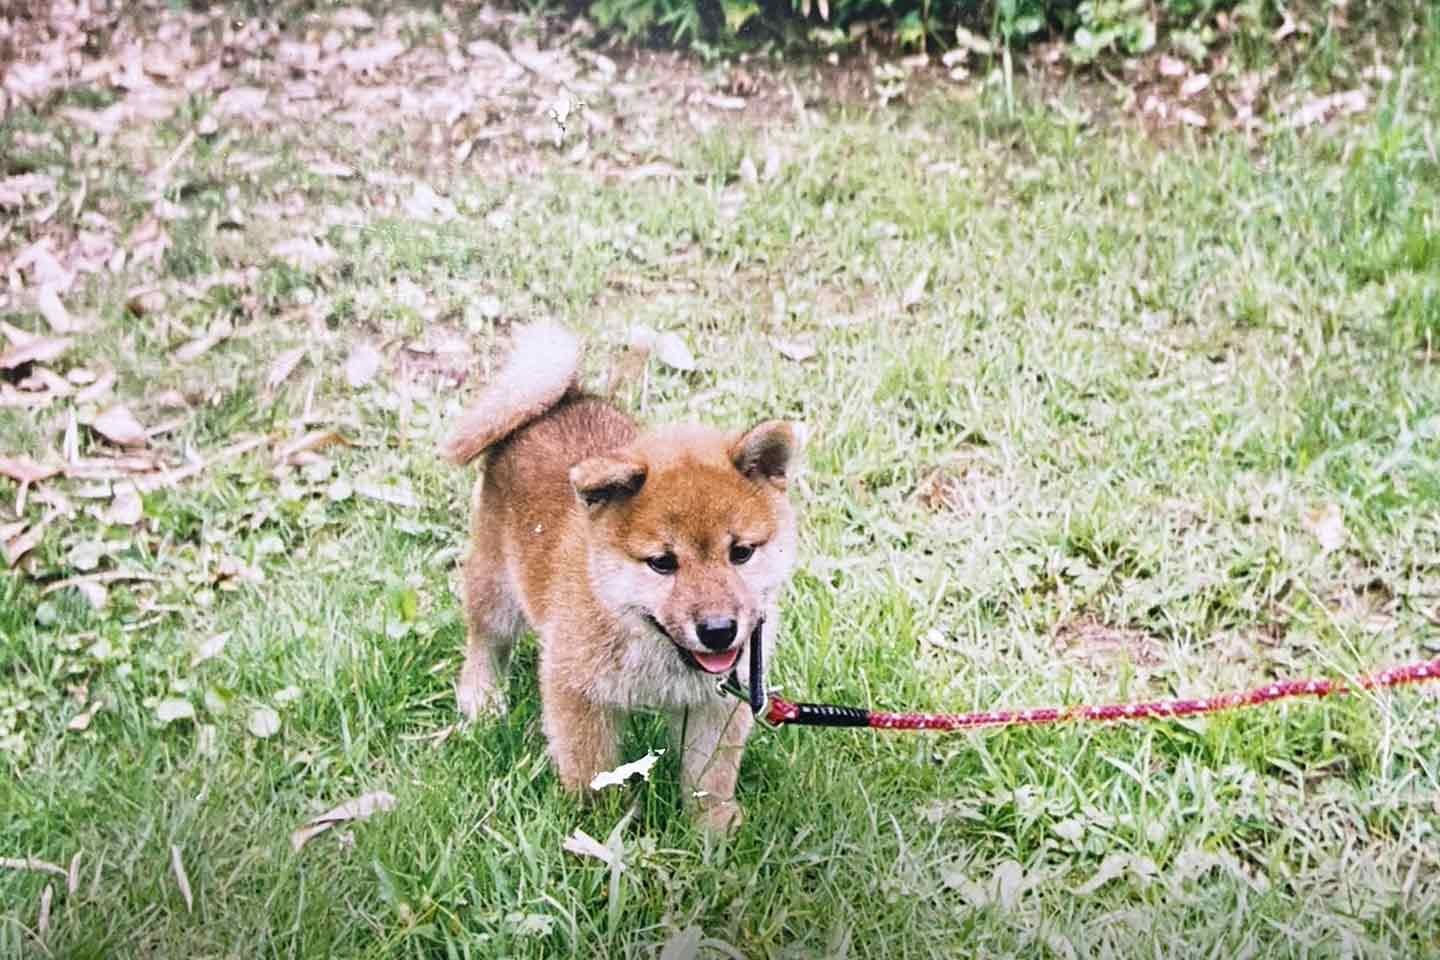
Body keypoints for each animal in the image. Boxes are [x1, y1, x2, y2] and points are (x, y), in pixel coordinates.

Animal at [440, 325, 800, 834]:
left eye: (741, 553)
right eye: (662, 562)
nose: (718, 631)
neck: (649, 642)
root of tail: (561, 399)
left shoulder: (716, 704)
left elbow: (710, 775)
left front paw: (712, 829)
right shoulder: (578, 694)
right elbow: (593, 775)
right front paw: (601, 834)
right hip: (497, 588)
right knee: (486, 639)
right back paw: (482, 697)